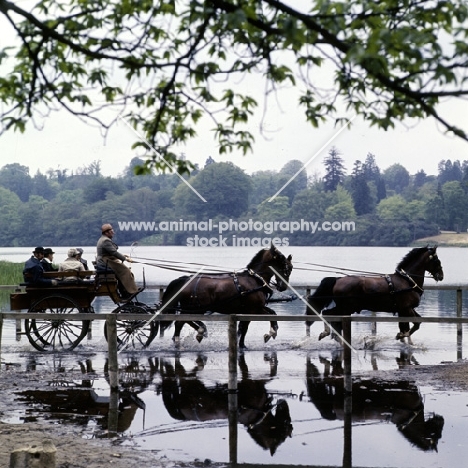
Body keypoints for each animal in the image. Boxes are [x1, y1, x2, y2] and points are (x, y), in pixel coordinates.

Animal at [160, 245, 292, 348]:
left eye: (290, 268)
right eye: (284, 264)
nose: (283, 287)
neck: (254, 280)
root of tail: (185, 280)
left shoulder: (254, 308)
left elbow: (271, 313)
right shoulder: (253, 309)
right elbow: (248, 326)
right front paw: (269, 334)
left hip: (192, 309)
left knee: (180, 323)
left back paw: (183, 339)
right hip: (194, 309)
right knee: (182, 322)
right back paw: (199, 332)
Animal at [306, 245, 444, 344]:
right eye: (437, 260)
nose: (441, 275)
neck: (407, 280)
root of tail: (338, 279)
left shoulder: (405, 309)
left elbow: (413, 323)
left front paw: (403, 336)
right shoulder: (407, 308)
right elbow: (415, 324)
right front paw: (401, 335)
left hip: (345, 308)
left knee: (331, 317)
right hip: (346, 307)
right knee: (327, 314)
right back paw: (328, 333)